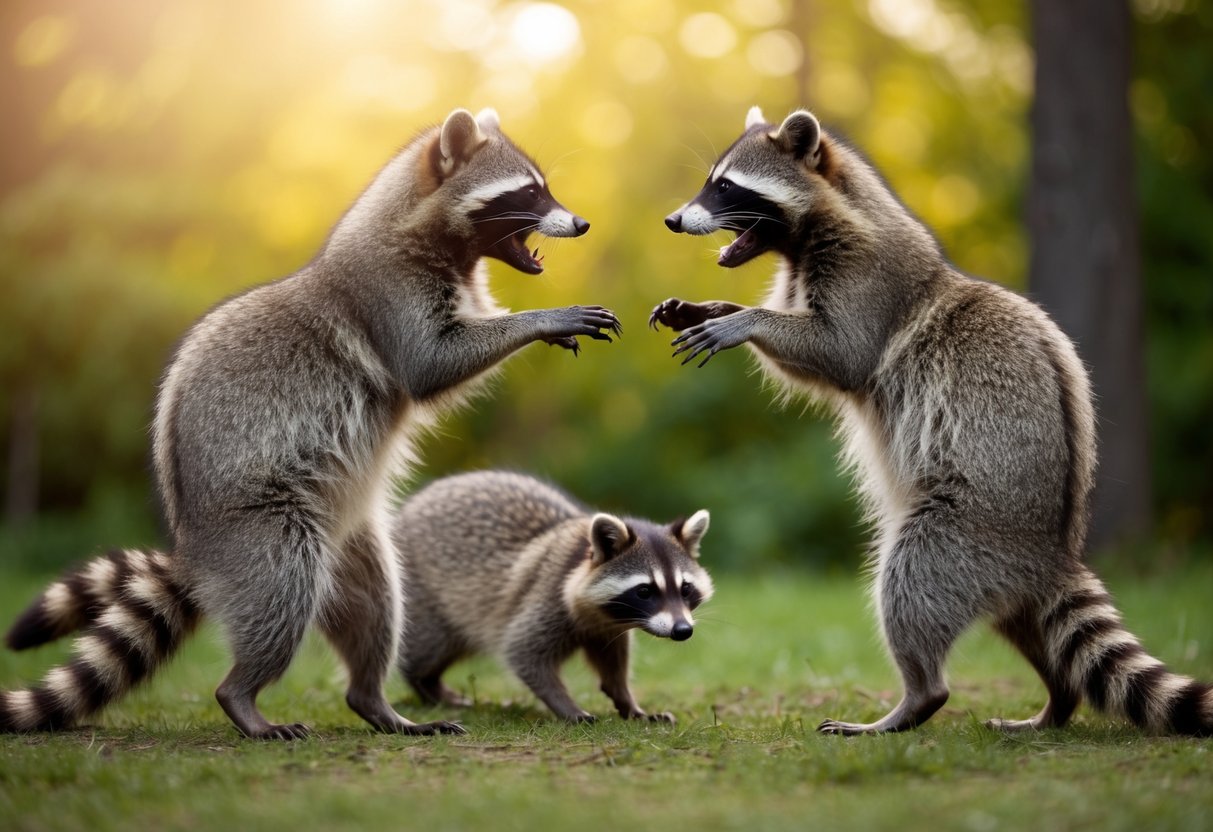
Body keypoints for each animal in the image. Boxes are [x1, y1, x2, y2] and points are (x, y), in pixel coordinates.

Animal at [2, 108, 620, 739]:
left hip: (351, 541)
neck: (427, 230)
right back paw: (242, 695)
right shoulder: (388, 296)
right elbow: (430, 364)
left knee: (376, 605)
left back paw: (374, 701)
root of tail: (194, 549)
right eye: (529, 193)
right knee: (284, 590)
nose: (583, 223)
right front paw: (539, 320)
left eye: (544, 188)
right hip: (262, 523)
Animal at [393, 471, 713, 723]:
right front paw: (565, 705)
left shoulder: (607, 627)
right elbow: (524, 652)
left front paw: (627, 701)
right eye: (645, 591)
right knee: (428, 647)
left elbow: (614, 660)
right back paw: (424, 682)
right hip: (421, 592)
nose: (682, 630)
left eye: (685, 589)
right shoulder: (547, 595)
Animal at [651, 106, 1212, 736]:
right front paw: (710, 308)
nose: (674, 219)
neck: (814, 229)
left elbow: (839, 354)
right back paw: (1058, 700)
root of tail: (1053, 551)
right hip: (1005, 579)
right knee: (1031, 628)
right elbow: (812, 364)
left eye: (726, 187)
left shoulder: (870, 281)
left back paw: (915, 698)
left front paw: (742, 320)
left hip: (965, 529)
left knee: (910, 582)